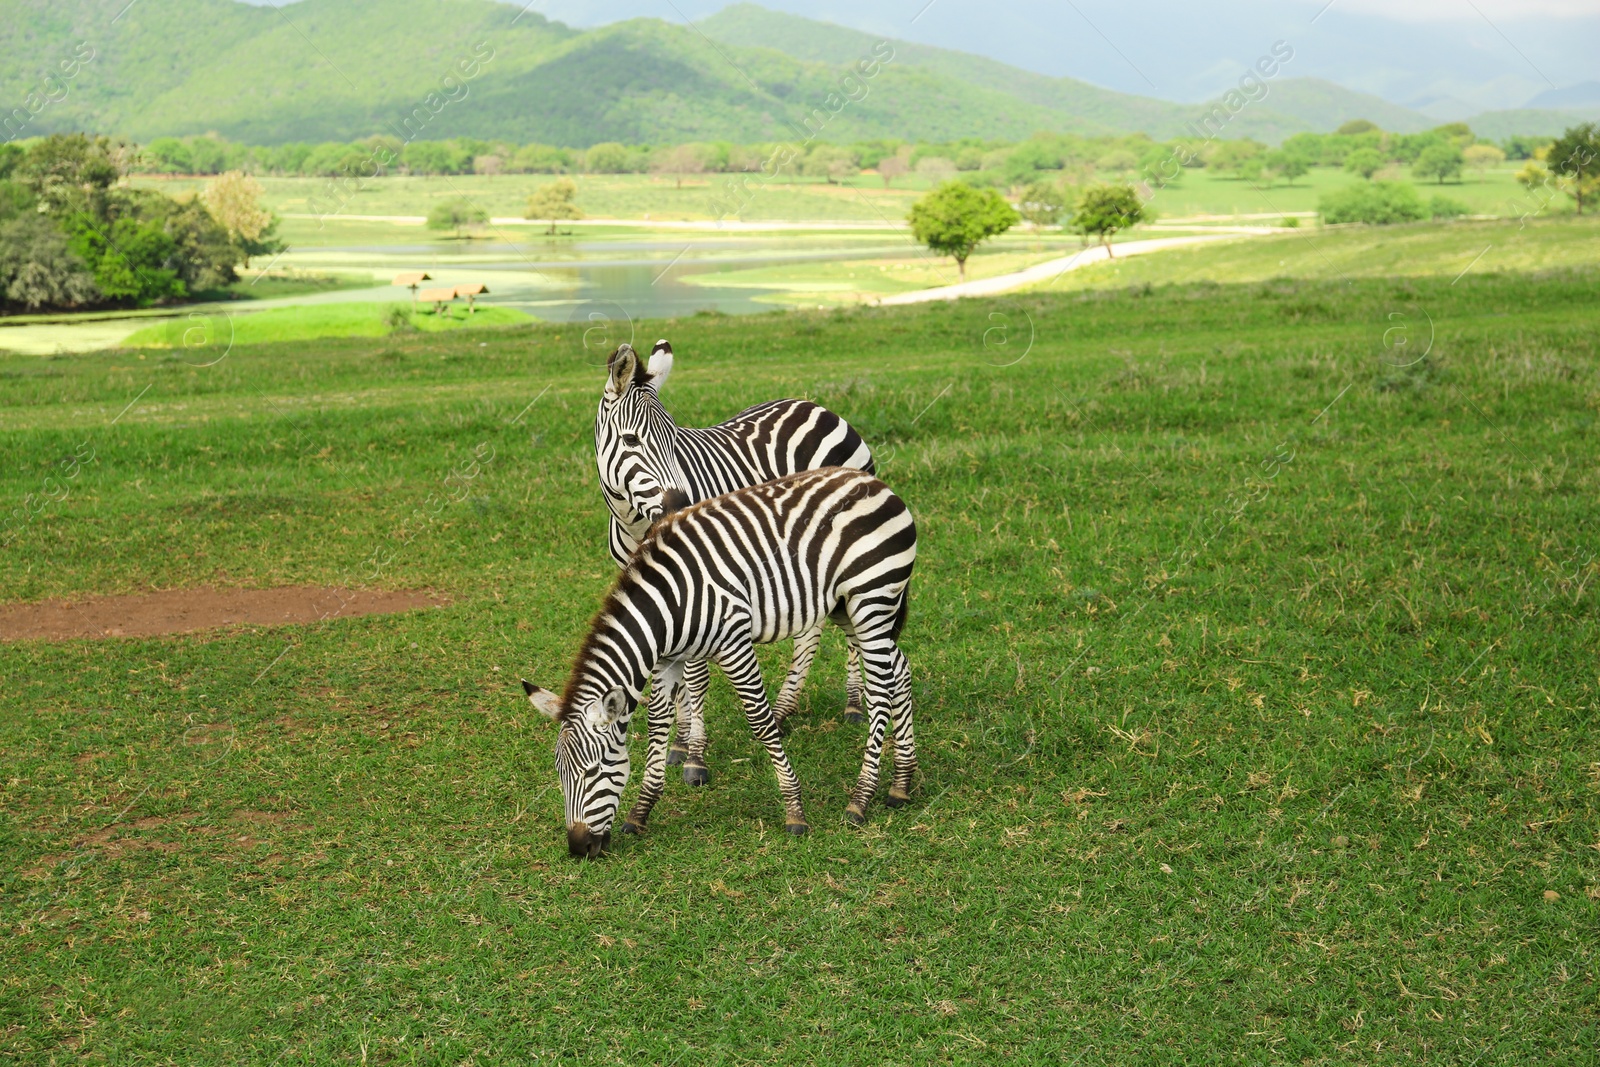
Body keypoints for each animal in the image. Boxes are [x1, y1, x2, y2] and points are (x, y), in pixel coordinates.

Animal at [524, 467, 921, 857]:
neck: (668, 607)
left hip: (871, 599)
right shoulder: (669, 660)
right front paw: (640, 812)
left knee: (881, 689)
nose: (578, 848)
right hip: (847, 607)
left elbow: (760, 722)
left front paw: (795, 811)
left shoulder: (734, 645)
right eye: (560, 774)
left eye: (592, 771)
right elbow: (657, 724)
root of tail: (873, 482)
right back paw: (901, 783)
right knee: (899, 670)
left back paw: (861, 798)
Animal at [598, 337, 876, 790]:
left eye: (675, 438)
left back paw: (853, 703)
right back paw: (785, 708)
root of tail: (816, 406)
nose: (680, 505)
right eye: (631, 440)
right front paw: (677, 744)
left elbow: (695, 675)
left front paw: (694, 755)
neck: (637, 523)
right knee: (811, 628)